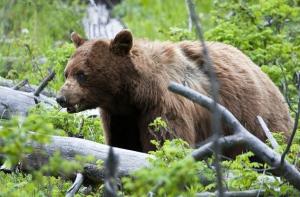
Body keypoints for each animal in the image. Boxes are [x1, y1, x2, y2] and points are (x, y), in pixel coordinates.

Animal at [55, 28, 290, 152]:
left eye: (82, 74)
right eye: (67, 73)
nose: (61, 98)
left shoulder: (164, 104)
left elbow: (167, 140)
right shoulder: (120, 117)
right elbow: (123, 143)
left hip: (257, 117)